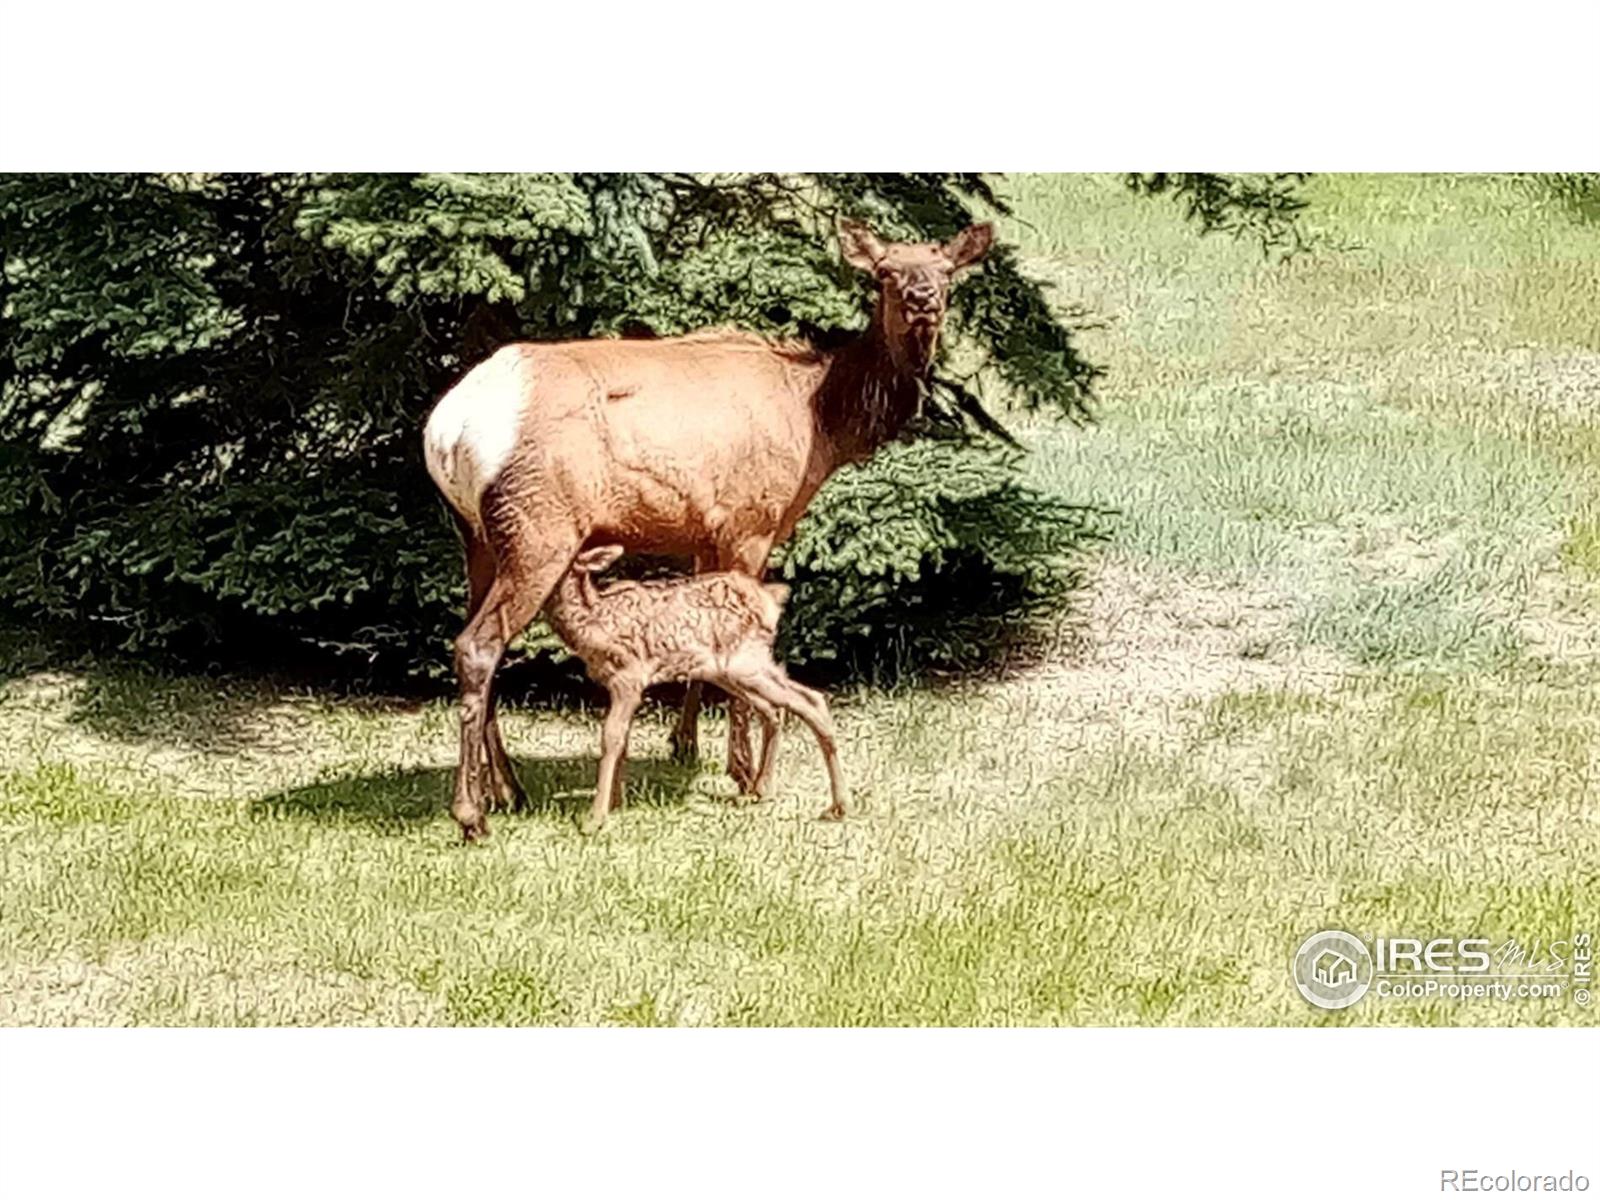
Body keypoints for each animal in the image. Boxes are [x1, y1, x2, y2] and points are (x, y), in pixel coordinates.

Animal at [547, 547, 851, 838]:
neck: (594, 625)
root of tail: (770, 601)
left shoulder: (629, 677)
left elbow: (611, 738)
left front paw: (594, 819)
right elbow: (622, 741)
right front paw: (615, 804)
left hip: (744, 663)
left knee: (810, 701)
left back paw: (838, 806)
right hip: (731, 671)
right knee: (774, 709)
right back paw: (761, 790)